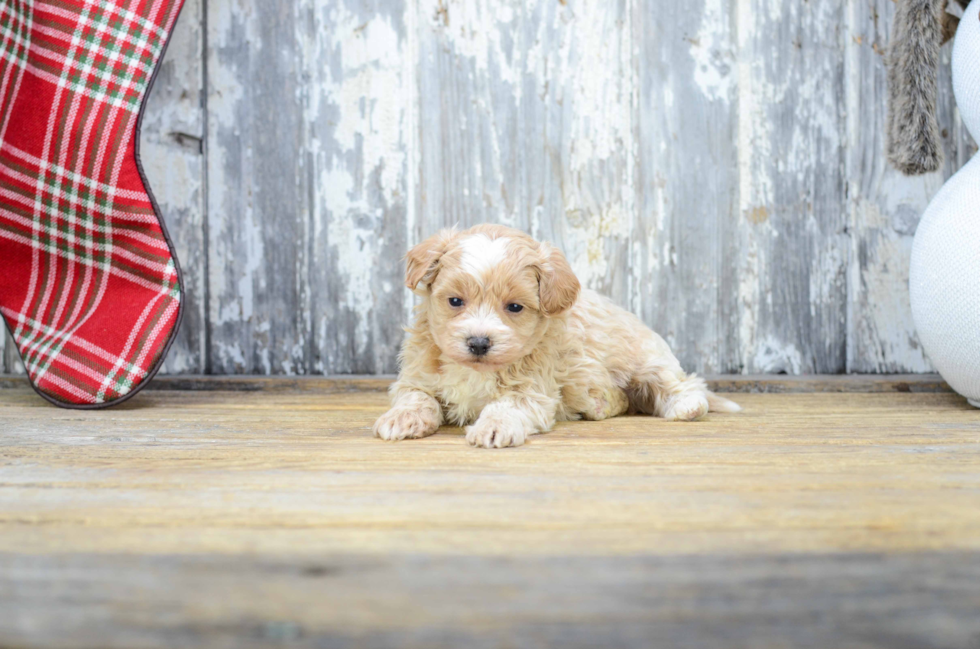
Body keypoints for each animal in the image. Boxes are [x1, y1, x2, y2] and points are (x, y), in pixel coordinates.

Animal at [372, 223, 740, 446]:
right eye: (454, 301)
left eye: (515, 307)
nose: (478, 343)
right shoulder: (416, 378)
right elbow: (417, 398)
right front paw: (401, 419)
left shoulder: (533, 390)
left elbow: (507, 405)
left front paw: (493, 427)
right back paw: (600, 403)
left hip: (647, 359)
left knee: (681, 383)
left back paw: (686, 405)